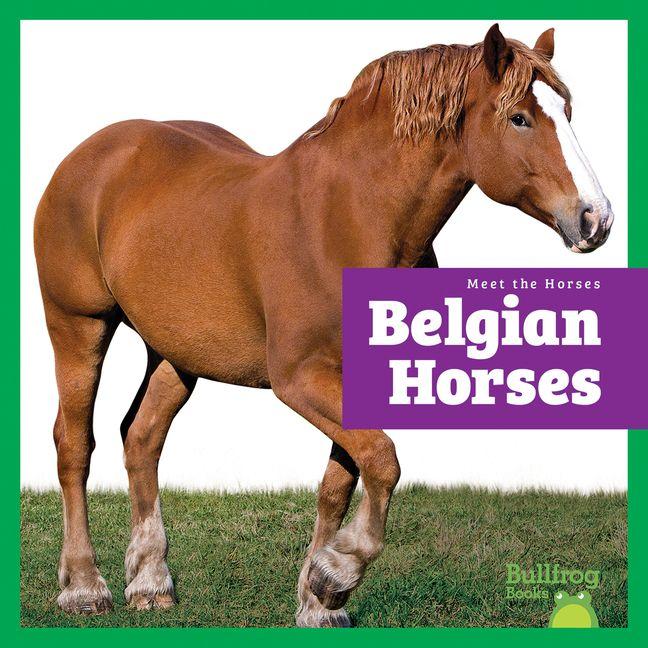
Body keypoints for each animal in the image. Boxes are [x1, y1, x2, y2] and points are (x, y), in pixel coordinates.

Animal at [33, 23, 613, 626]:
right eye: (520, 118)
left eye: (567, 111)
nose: (596, 218)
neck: (347, 217)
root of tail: (91, 153)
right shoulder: (299, 379)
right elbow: (382, 460)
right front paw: (338, 573)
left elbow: (345, 479)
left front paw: (320, 594)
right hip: (77, 326)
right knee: (73, 445)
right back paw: (84, 585)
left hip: (175, 350)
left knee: (142, 438)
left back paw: (150, 580)